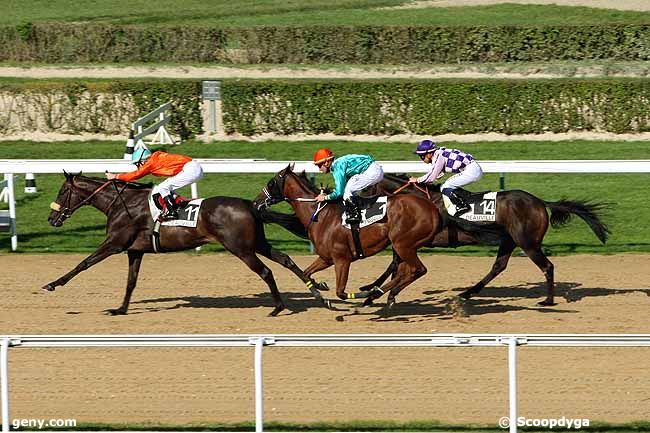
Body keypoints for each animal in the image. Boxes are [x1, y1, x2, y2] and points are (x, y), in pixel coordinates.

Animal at [43, 170, 326, 316]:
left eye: (62, 191)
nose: (51, 218)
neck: (122, 204)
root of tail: (250, 205)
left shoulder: (114, 244)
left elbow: (83, 263)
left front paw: (52, 284)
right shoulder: (135, 251)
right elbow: (131, 282)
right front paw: (121, 309)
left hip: (240, 248)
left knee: (266, 271)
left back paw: (278, 307)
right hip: (256, 243)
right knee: (285, 259)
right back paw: (316, 291)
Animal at [253, 164, 446, 308]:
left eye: (271, 182)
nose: (256, 202)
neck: (321, 215)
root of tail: (433, 209)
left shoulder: (342, 259)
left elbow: (341, 292)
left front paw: (363, 293)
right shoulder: (326, 258)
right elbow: (307, 273)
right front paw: (321, 287)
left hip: (403, 244)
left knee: (417, 270)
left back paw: (374, 293)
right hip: (405, 246)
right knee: (404, 271)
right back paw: (382, 294)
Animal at [360, 171, 608, 304]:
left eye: (364, 189)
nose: (357, 206)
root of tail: (540, 201)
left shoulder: (411, 241)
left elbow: (395, 263)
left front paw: (373, 292)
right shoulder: (406, 241)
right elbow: (394, 263)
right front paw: (370, 288)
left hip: (527, 242)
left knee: (547, 266)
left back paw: (548, 300)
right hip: (509, 241)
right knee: (498, 266)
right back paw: (468, 292)